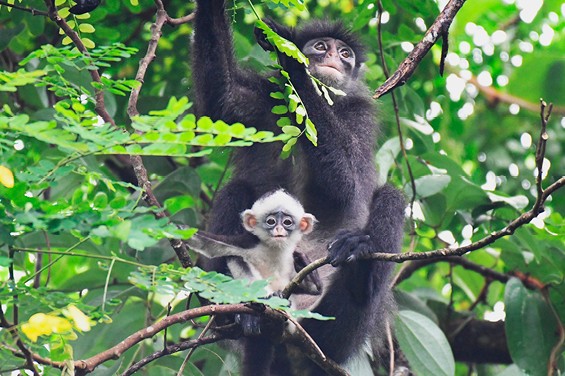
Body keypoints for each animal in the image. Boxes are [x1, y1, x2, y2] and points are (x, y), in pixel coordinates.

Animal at [187, 189, 320, 302]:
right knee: (235, 258)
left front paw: (302, 261)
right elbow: (209, 244)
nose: (278, 229)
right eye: (271, 221)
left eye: (287, 222)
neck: (273, 249)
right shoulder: (248, 242)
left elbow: (314, 290)